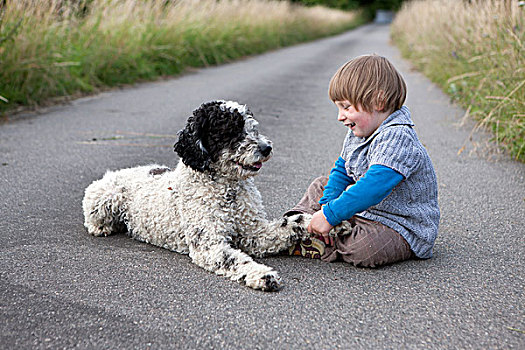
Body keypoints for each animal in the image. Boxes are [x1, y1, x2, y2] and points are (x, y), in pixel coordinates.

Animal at [82, 100, 314, 292]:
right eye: (231, 130)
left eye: (252, 127)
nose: (267, 148)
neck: (228, 191)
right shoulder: (209, 244)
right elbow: (236, 260)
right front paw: (263, 275)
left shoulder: (253, 233)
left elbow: (287, 225)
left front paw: (312, 220)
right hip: (103, 198)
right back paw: (102, 228)